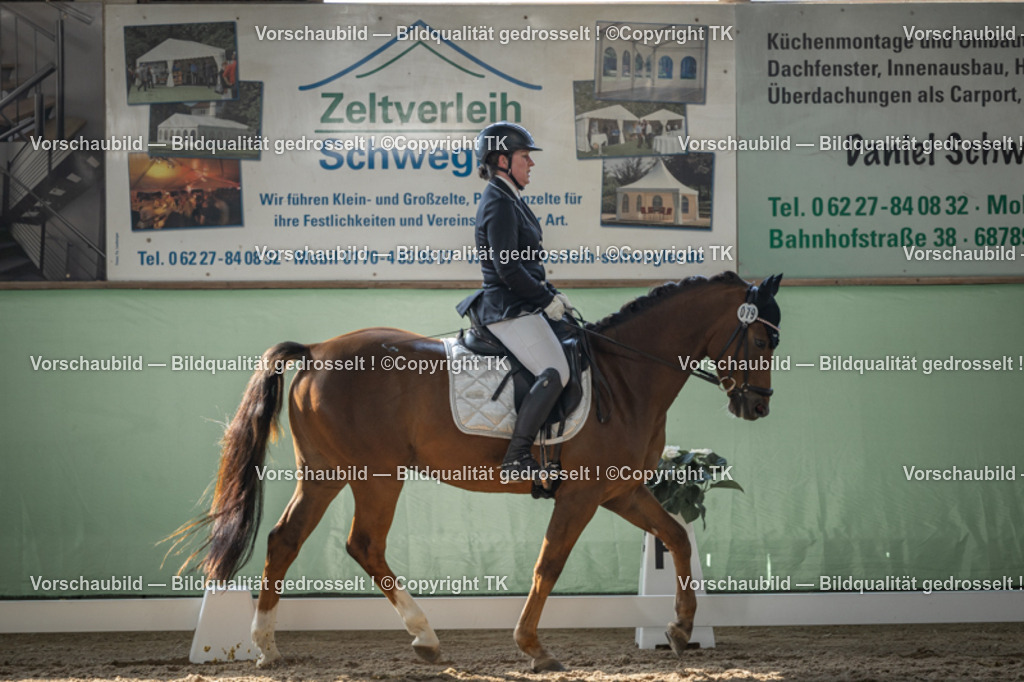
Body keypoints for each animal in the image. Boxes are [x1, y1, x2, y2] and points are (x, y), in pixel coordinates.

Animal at [171, 270, 783, 672]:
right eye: (760, 338)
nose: (757, 406)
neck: (626, 376)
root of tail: (317, 351)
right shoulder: (581, 496)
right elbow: (549, 564)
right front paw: (533, 647)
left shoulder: (620, 491)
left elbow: (675, 538)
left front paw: (679, 629)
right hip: (377, 474)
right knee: (362, 544)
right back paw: (424, 636)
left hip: (326, 472)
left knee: (285, 539)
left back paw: (268, 647)